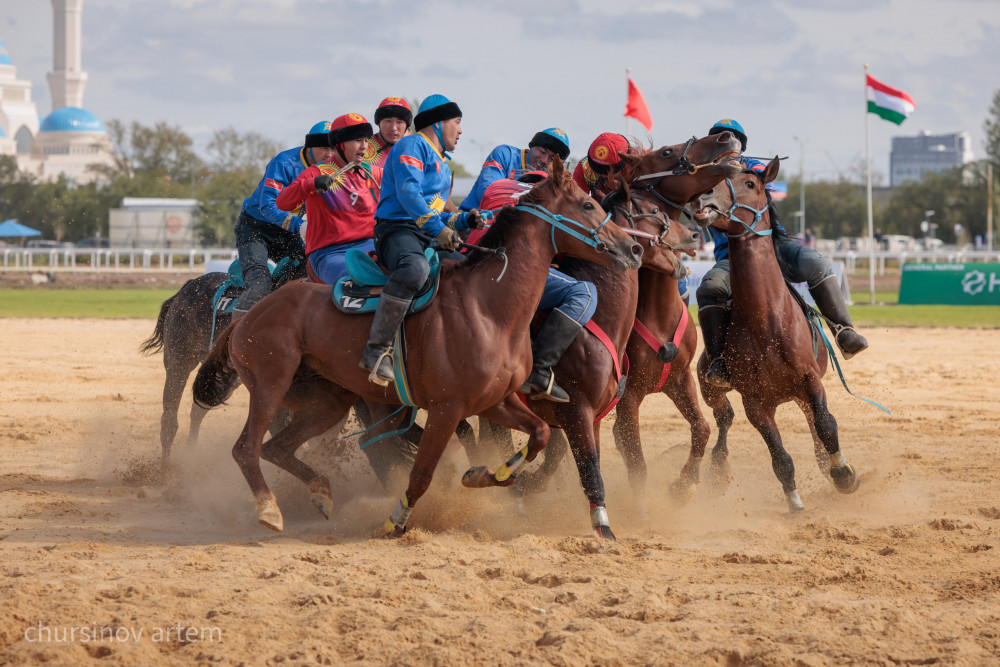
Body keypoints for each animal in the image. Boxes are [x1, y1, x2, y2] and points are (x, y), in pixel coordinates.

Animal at [189, 157, 640, 532]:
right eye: (588, 205)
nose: (633, 248)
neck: (489, 307)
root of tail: (249, 313)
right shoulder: (447, 409)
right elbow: (421, 474)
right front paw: (396, 520)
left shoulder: (496, 401)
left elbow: (540, 435)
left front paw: (486, 475)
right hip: (270, 385)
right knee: (247, 449)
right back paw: (270, 509)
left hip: (326, 401)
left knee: (276, 448)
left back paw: (321, 492)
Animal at [464, 133, 740, 540]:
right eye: (667, 152)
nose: (725, 138)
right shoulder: (622, 402)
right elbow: (630, 461)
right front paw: (636, 514)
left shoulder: (678, 378)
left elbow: (701, 429)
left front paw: (682, 487)